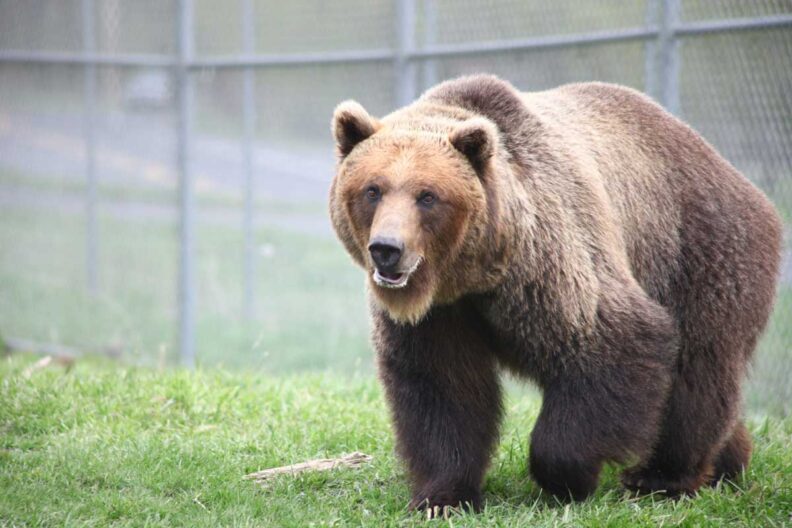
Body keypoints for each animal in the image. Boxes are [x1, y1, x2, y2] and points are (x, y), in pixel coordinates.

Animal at [328, 74, 782, 513]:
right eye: (372, 189)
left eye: (428, 196)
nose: (387, 249)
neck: (471, 275)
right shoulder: (441, 315)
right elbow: (443, 389)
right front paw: (442, 496)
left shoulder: (549, 263)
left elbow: (611, 341)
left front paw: (570, 478)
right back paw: (729, 461)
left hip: (698, 253)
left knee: (698, 370)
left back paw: (663, 477)